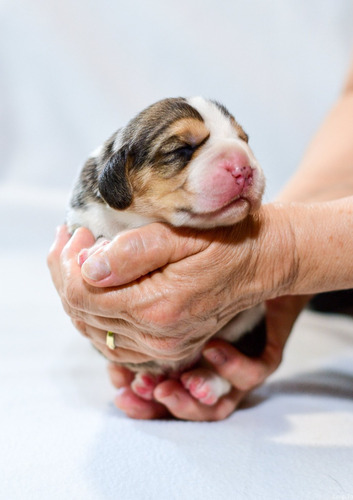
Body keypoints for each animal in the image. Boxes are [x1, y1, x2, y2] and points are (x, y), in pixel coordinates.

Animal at [66, 96, 264, 406]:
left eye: (244, 139)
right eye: (182, 149)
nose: (243, 168)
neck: (141, 220)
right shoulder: (80, 217)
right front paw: (98, 246)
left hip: (247, 326)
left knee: (227, 364)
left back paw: (205, 382)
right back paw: (146, 382)